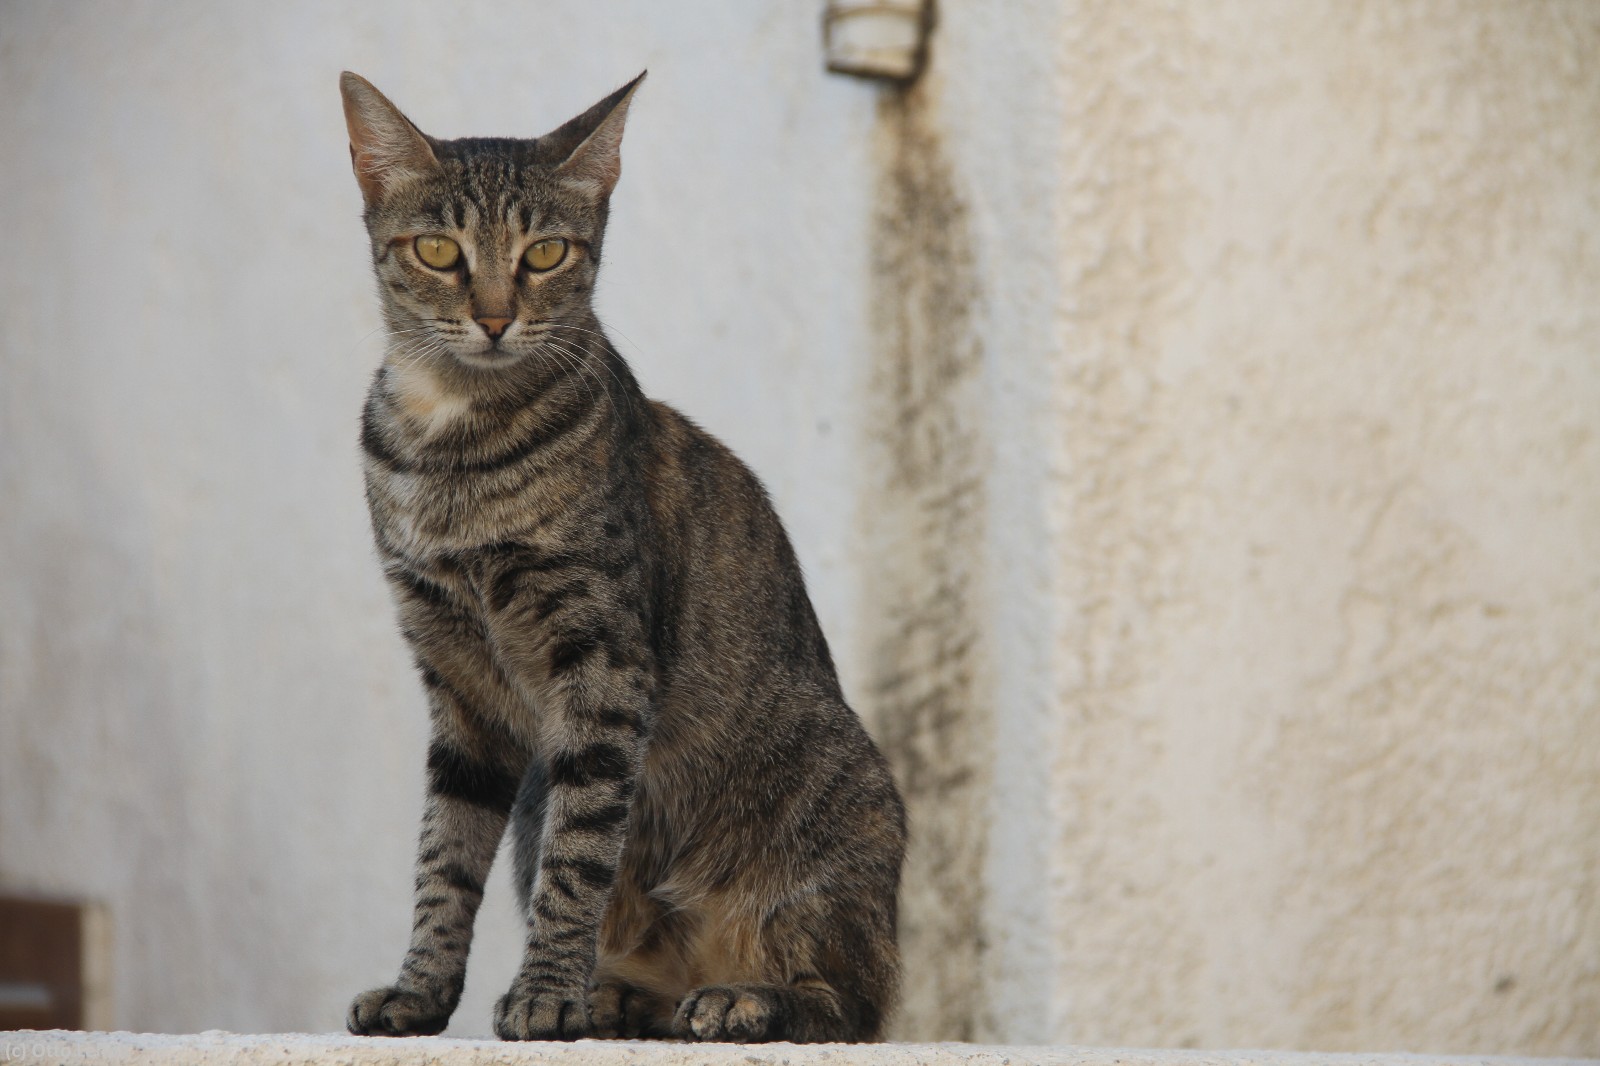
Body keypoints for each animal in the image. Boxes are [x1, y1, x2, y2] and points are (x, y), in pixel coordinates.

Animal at [334, 72, 915, 1037]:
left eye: (544, 255)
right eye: (438, 250)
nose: (495, 318)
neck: (451, 441)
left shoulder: (602, 661)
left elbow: (580, 854)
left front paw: (545, 993)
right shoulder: (457, 678)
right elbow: (444, 856)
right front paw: (421, 990)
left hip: (827, 813)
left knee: (842, 1002)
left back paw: (736, 1000)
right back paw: (614, 995)